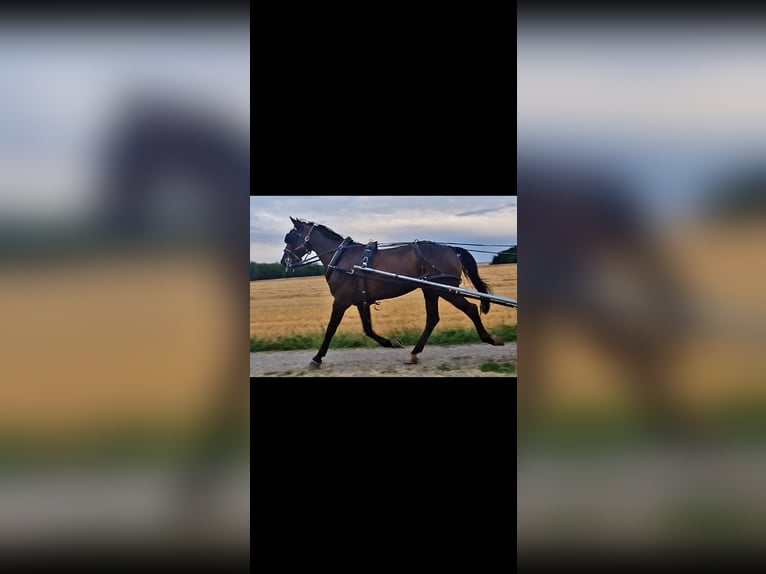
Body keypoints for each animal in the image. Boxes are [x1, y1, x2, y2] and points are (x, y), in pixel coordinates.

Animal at [280, 217, 505, 369]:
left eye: (290, 237)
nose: (284, 261)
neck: (341, 258)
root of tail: (450, 249)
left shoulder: (341, 301)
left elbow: (331, 329)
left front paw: (317, 358)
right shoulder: (360, 300)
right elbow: (368, 329)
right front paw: (391, 342)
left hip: (445, 290)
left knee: (471, 309)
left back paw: (489, 338)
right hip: (431, 290)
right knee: (433, 318)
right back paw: (414, 353)